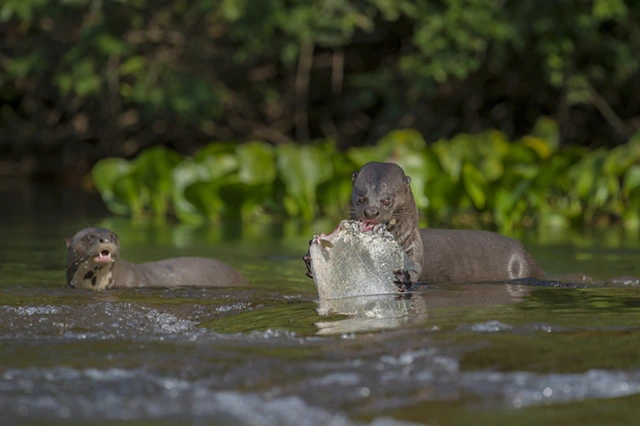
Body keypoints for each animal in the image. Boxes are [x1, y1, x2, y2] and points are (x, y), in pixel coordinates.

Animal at [349, 162, 544, 284]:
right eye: (361, 198)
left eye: (387, 200)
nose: (371, 212)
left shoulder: (414, 248)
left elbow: (416, 270)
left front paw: (403, 277)